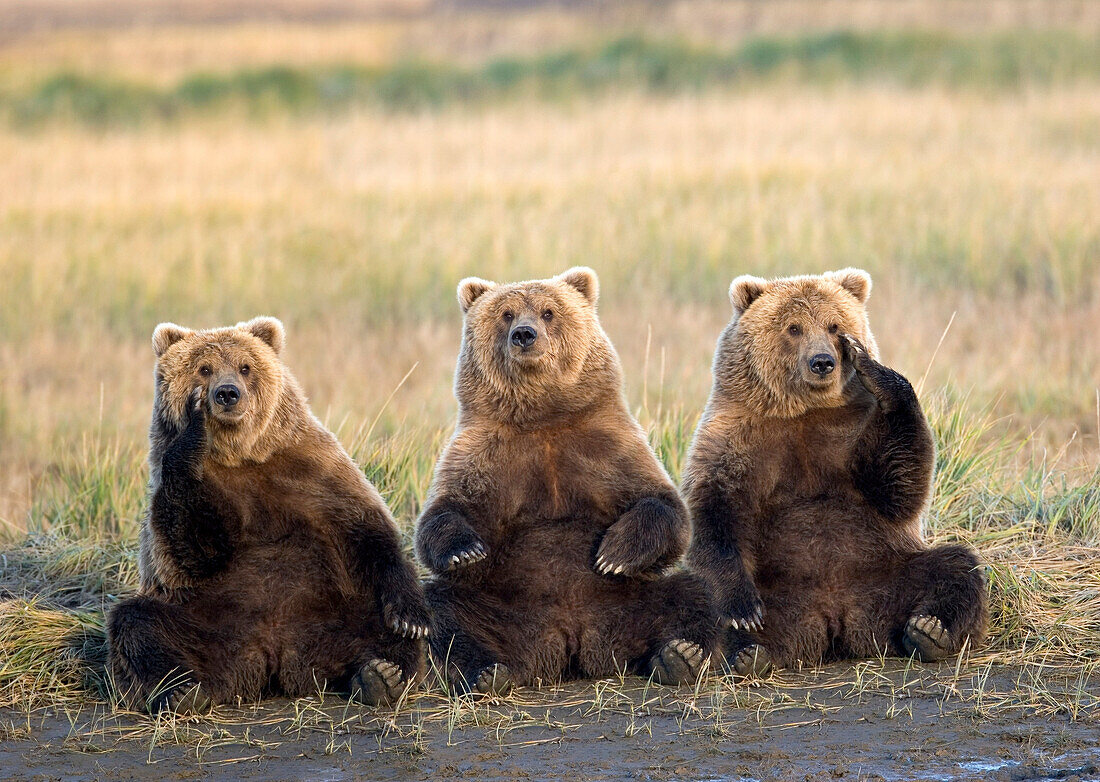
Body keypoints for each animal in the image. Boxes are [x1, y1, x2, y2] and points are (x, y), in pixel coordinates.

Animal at [105, 318, 426, 717]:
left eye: (245, 366)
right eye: (204, 368)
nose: (227, 394)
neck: (240, 455)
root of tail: (272, 658)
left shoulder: (308, 471)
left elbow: (367, 529)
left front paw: (410, 618)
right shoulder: (190, 487)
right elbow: (191, 547)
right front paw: (195, 424)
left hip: (332, 612)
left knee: (375, 626)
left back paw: (380, 675)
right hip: (206, 620)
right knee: (138, 624)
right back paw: (182, 692)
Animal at [415, 267, 717, 690]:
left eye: (548, 311)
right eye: (506, 314)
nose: (524, 334)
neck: (543, 418)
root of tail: (571, 639)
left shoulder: (606, 446)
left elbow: (663, 506)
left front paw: (614, 554)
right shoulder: (483, 453)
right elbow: (445, 512)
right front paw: (465, 550)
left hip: (631, 599)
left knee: (692, 594)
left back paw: (680, 656)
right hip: (502, 606)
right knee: (445, 611)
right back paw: (487, 673)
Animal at [686, 269, 990, 673]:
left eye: (834, 326)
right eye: (794, 327)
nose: (822, 361)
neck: (803, 411)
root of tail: (835, 617)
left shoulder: (853, 432)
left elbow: (898, 485)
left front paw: (873, 368)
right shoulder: (736, 438)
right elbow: (716, 509)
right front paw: (743, 610)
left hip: (886, 573)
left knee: (956, 567)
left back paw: (930, 631)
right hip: (786, 590)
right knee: (695, 600)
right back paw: (736, 653)